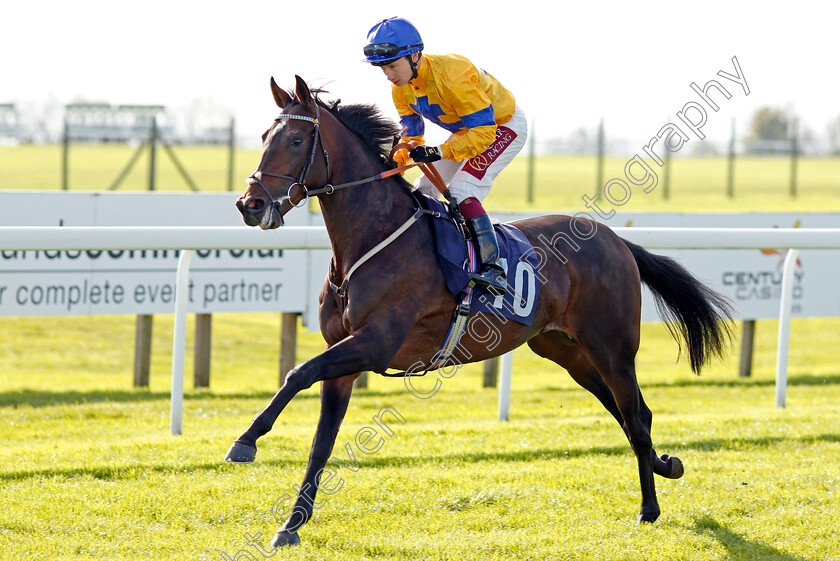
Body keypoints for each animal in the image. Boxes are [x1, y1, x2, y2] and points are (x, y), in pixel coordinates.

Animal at [230, 75, 736, 548]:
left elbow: (297, 372)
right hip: (564, 350)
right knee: (627, 412)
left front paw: (246, 441)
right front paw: (290, 525)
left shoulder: (374, 345)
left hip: (612, 346)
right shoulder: (344, 356)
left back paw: (649, 507)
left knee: (634, 414)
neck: (373, 239)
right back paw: (666, 465)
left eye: (297, 140)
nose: (249, 204)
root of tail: (618, 242)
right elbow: (321, 443)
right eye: (264, 136)